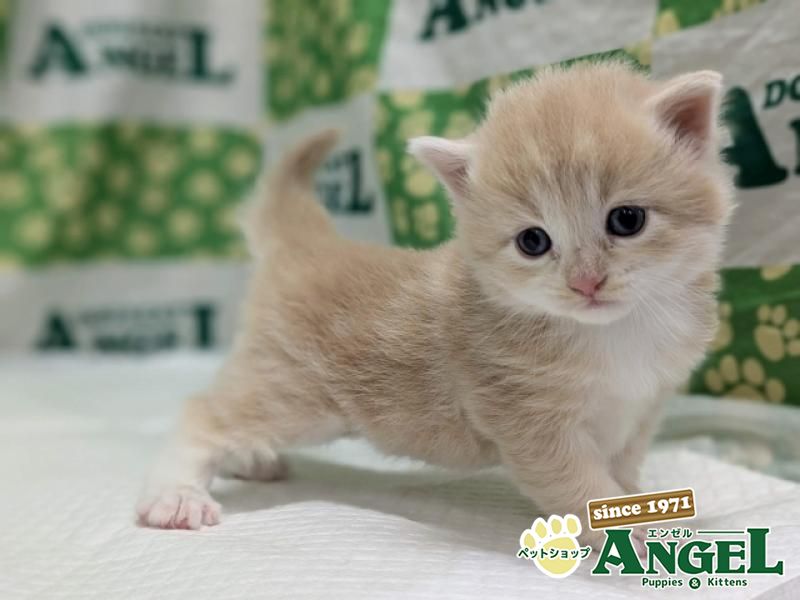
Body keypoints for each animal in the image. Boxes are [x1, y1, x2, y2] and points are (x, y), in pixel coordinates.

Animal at [136, 61, 733, 551]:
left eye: (626, 220)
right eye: (533, 242)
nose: (585, 283)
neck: (616, 333)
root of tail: (310, 245)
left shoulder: (642, 408)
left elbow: (622, 473)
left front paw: (644, 509)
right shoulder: (530, 424)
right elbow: (584, 488)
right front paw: (632, 541)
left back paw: (248, 456)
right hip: (297, 395)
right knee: (205, 411)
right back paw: (176, 493)